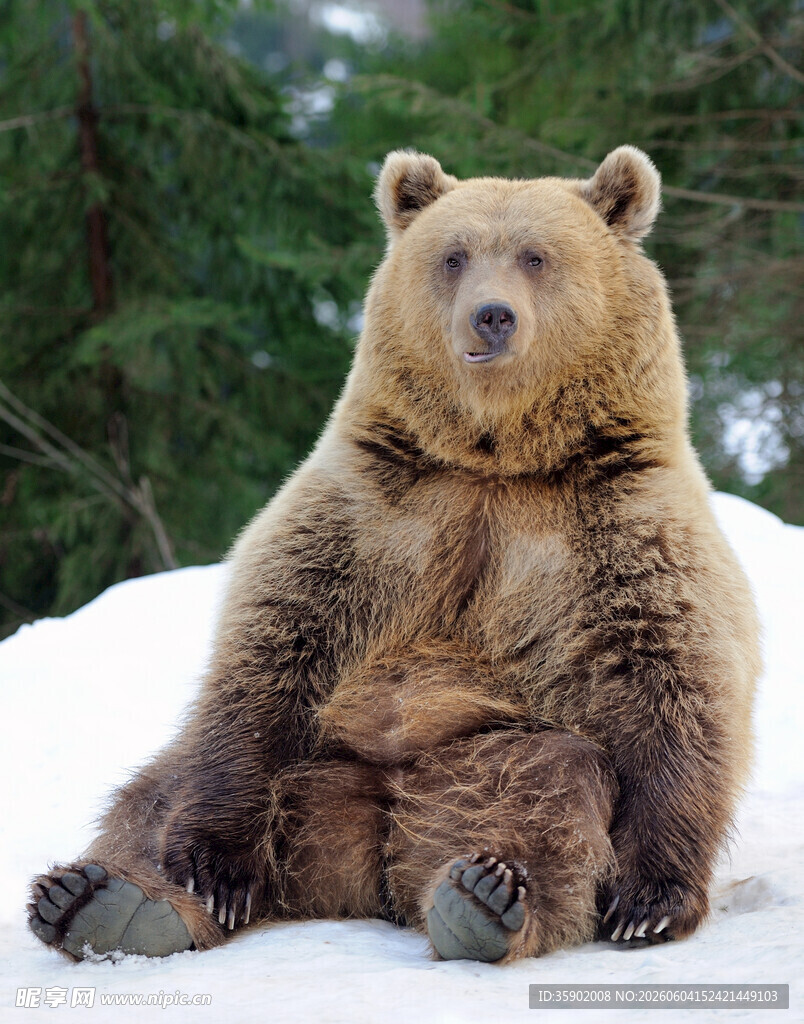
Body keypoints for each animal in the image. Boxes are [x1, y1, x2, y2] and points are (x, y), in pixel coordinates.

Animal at [28, 146, 760, 964]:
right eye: (453, 256)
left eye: (537, 255)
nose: (491, 314)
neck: (495, 458)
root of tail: (370, 851)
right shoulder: (368, 512)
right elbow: (268, 650)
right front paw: (214, 867)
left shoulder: (620, 528)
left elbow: (673, 680)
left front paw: (650, 900)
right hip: (315, 766)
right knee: (158, 790)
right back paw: (104, 899)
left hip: (478, 760)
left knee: (549, 786)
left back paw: (484, 897)